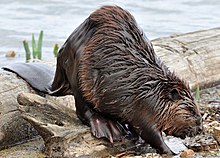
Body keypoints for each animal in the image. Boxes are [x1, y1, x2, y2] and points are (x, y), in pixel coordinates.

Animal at [3, 4, 203, 154]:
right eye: (192, 110)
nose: (200, 128)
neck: (152, 88)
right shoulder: (143, 106)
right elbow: (150, 132)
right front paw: (171, 151)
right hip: (79, 72)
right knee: (83, 109)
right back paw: (108, 127)